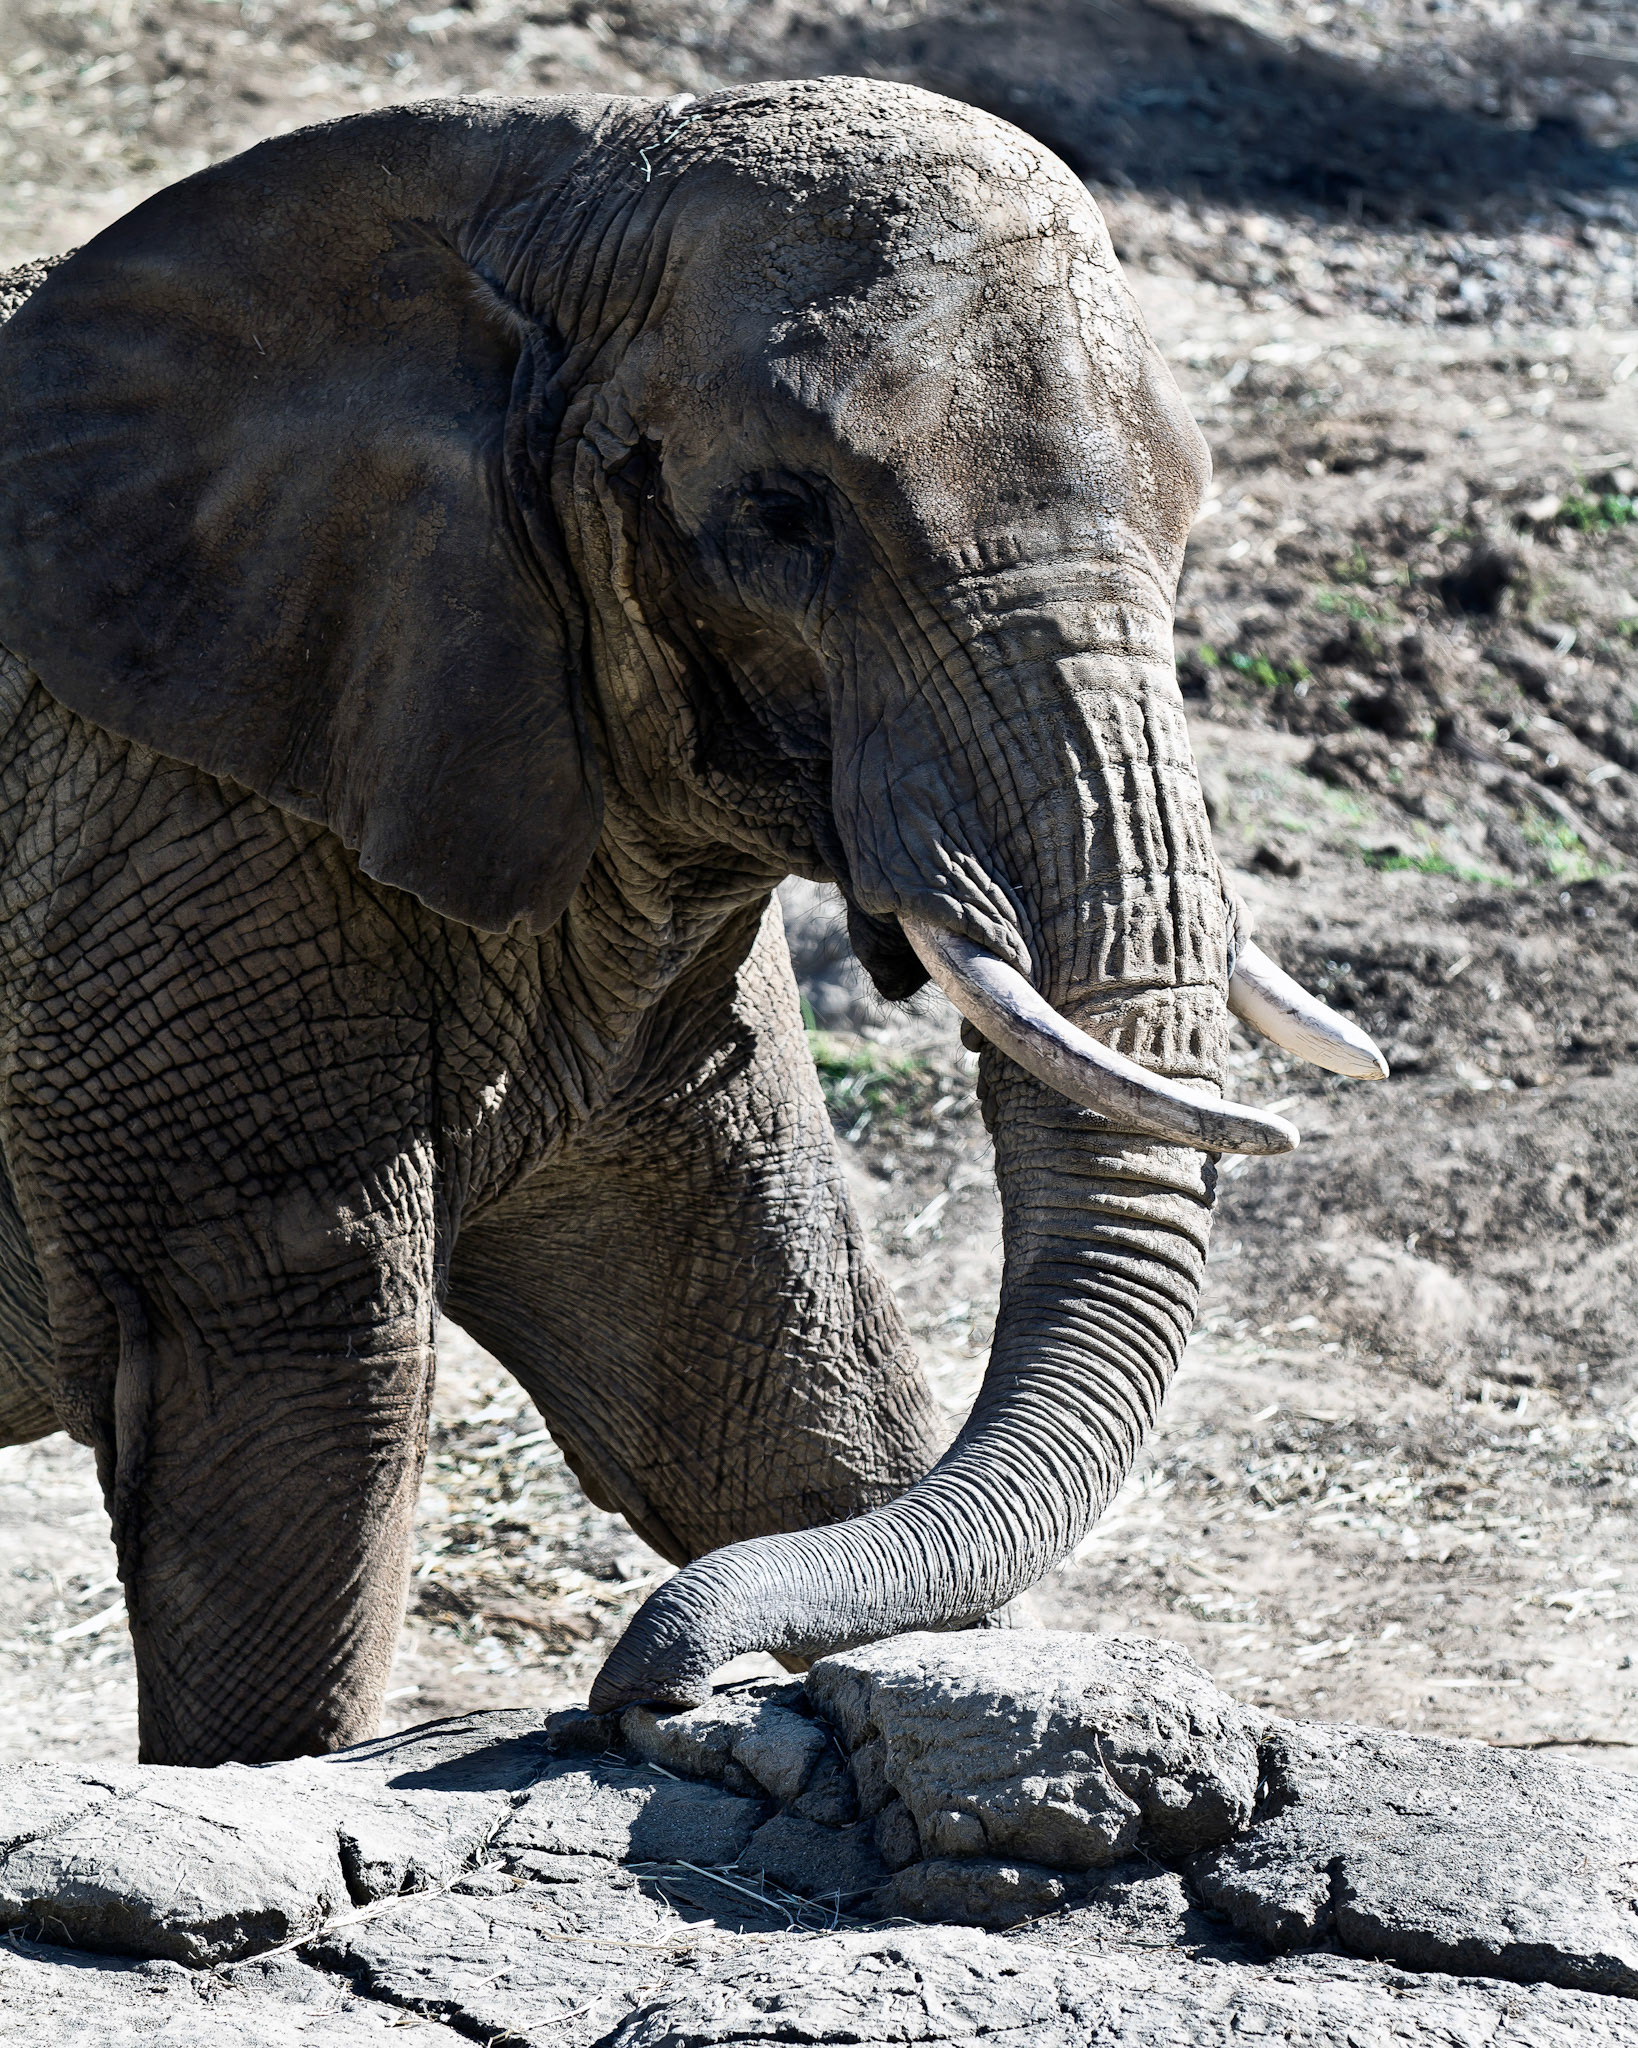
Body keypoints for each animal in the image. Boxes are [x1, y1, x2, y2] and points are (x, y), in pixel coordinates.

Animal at [0, 78, 1384, 1767]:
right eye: (782, 517)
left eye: (1191, 519)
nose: (651, 1693)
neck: (520, 190)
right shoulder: (171, 839)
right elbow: (291, 1396)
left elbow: (774, 1376)